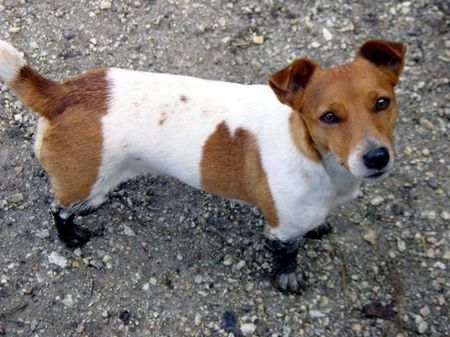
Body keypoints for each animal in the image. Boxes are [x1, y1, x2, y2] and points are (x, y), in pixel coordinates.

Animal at [0, 38, 406, 292]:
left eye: (382, 102)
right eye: (328, 117)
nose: (376, 157)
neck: (314, 154)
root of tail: (61, 93)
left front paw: (319, 228)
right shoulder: (282, 227)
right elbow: (287, 255)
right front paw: (288, 279)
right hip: (86, 185)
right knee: (59, 210)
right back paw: (71, 238)